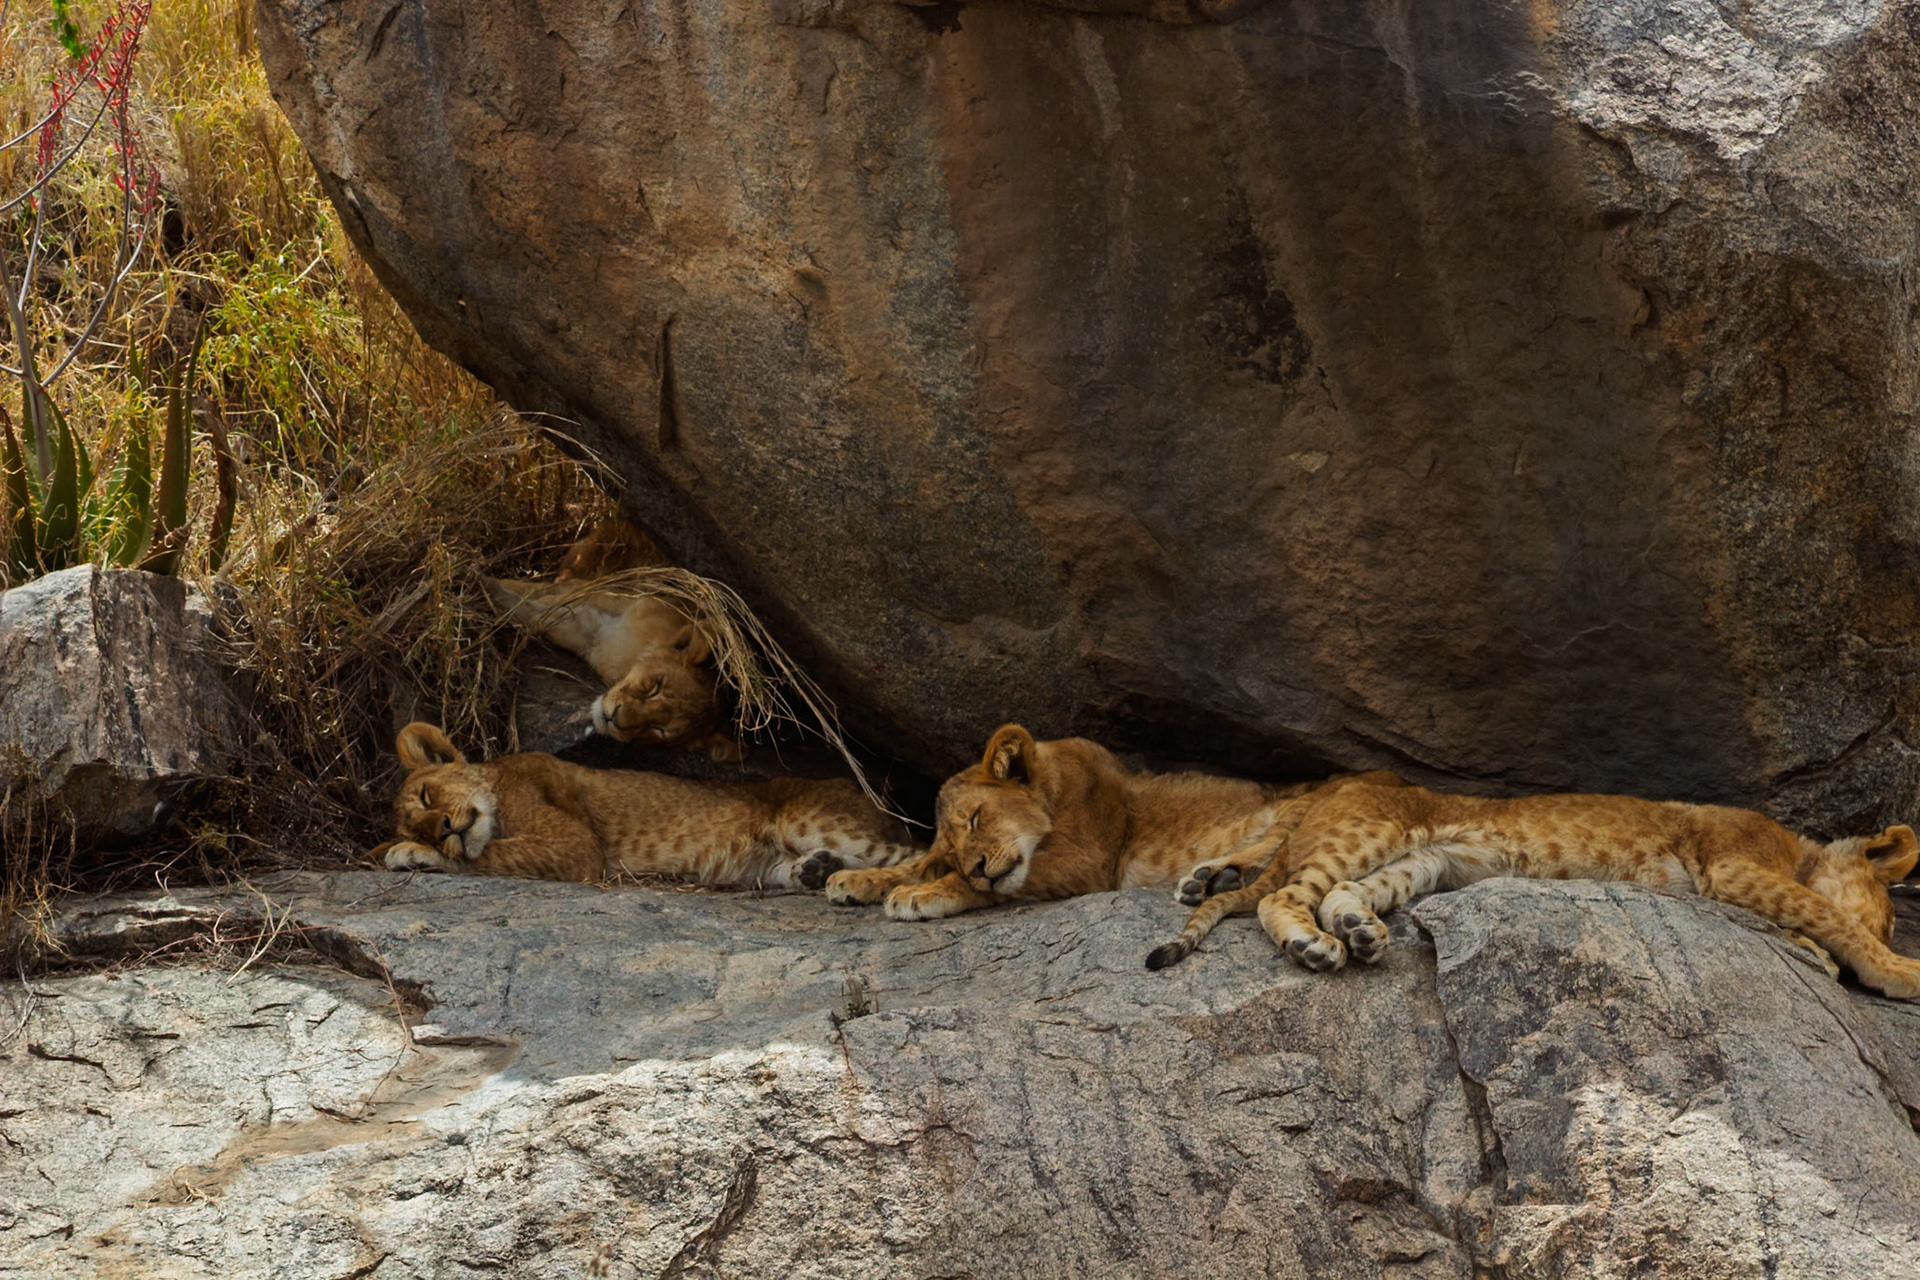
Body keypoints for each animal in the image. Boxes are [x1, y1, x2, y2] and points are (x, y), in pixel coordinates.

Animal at [376, 721, 917, 887]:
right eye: (417, 823)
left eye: (427, 795)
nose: (441, 829)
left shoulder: (577, 848)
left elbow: (489, 855)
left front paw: (414, 856)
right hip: (767, 864)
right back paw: (817, 871)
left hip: (810, 820)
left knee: (915, 853)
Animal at [824, 722, 1402, 921]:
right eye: (950, 848)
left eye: (975, 819)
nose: (977, 867)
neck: (1054, 791)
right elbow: (912, 863)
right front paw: (855, 879)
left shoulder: (1091, 864)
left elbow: (989, 887)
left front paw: (921, 895)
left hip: (1307, 802)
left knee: (1280, 847)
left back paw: (1212, 879)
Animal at [1170, 780, 1920, 999]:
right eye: (1890, 922)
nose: (1891, 938)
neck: (1801, 850)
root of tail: (1337, 783)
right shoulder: (1734, 865)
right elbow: (1825, 913)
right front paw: (1898, 971)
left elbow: (1813, 920)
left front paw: (1825, 958)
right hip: (1369, 828)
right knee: (1280, 896)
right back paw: (1315, 949)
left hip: (1424, 863)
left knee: (1337, 893)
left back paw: (1358, 933)